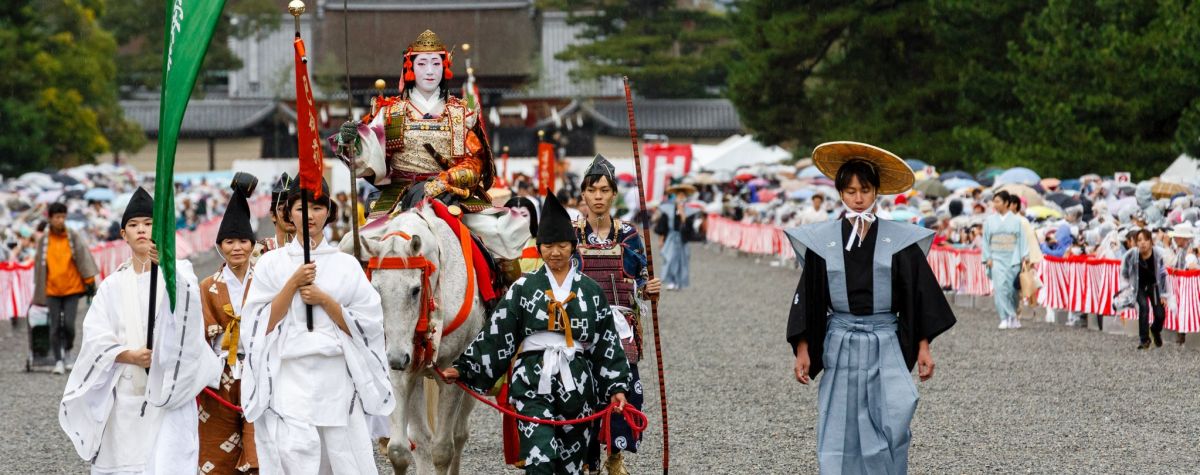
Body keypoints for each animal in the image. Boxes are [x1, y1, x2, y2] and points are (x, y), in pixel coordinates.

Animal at [340, 207, 484, 475]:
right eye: (375, 290)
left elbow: (442, 451)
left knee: (459, 434)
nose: (398, 358)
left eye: (415, 290)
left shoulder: (452, 371)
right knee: (423, 437)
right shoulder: (399, 369)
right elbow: (400, 450)